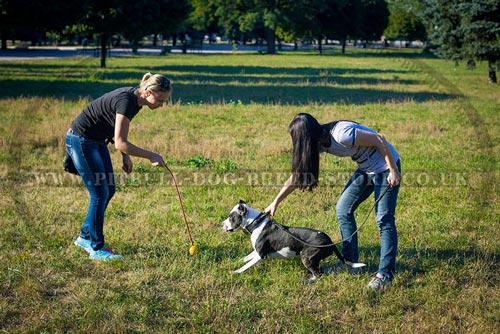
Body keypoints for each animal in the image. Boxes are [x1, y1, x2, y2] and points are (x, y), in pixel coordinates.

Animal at [221, 200, 366, 284]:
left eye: (231, 217)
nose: (222, 224)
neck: (256, 223)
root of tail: (330, 241)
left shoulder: (261, 255)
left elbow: (246, 265)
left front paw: (236, 272)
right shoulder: (256, 252)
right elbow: (245, 258)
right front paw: (234, 262)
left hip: (306, 256)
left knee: (318, 274)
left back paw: (309, 281)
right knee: (319, 270)